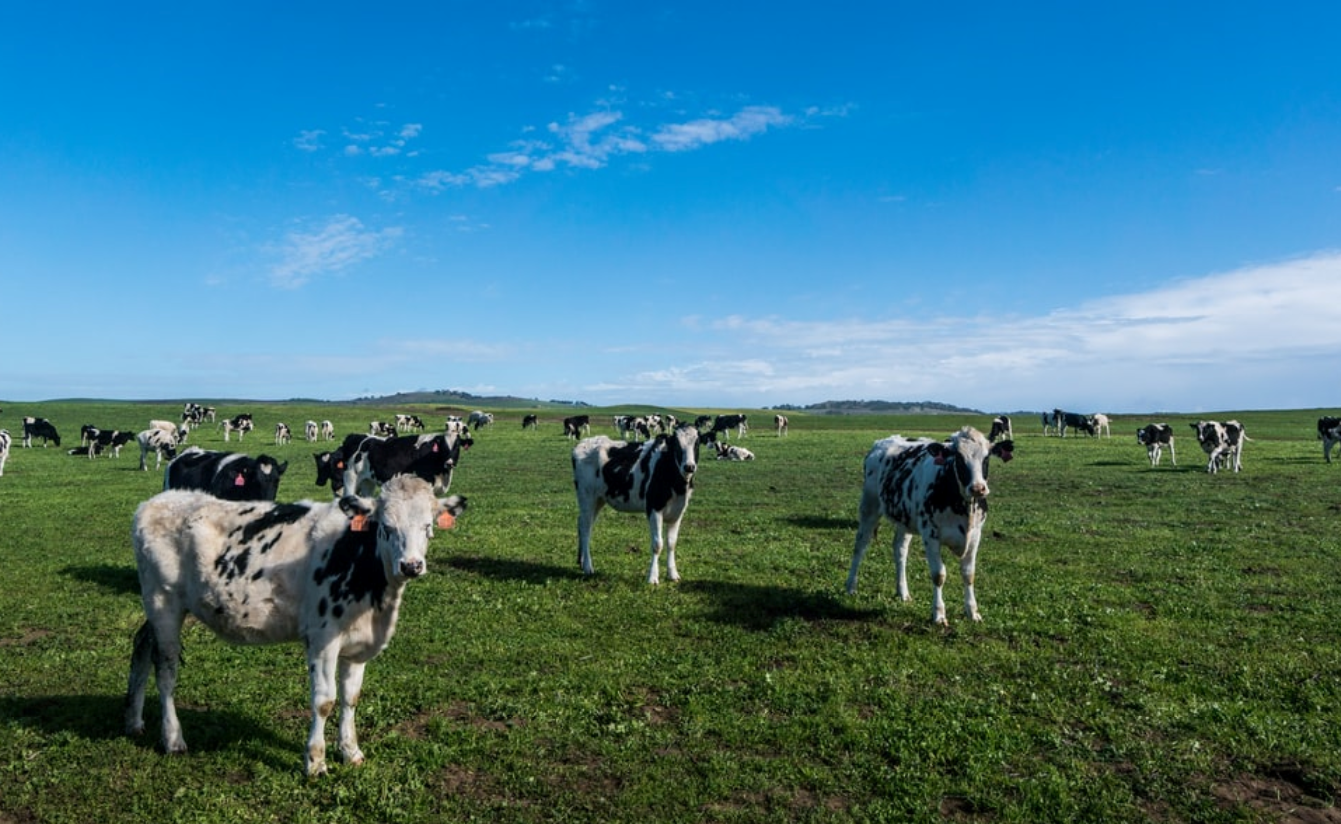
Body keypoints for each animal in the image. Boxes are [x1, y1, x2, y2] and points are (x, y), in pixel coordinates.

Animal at [124, 475, 468, 776]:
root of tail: (156, 501)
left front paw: (351, 751)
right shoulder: (322, 639)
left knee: (142, 645)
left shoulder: (359, 645)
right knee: (166, 670)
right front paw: (315, 762)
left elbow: (351, 698)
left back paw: (134, 722)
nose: (411, 565)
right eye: (386, 526)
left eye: (428, 526)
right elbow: (324, 701)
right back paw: (172, 739)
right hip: (163, 602)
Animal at [572, 425, 700, 584]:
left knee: (584, 524)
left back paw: (581, 561)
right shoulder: (654, 508)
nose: (689, 467)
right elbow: (658, 544)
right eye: (676, 444)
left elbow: (671, 543)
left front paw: (673, 574)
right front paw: (652, 577)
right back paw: (588, 567)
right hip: (586, 496)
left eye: (697, 444)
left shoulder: (678, 512)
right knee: (585, 528)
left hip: (598, 499)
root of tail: (584, 442)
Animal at [845, 427, 1015, 625]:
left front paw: (973, 612)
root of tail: (882, 442)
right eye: (958, 458)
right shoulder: (930, 534)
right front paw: (939, 614)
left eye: (986, 458)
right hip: (869, 506)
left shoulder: (975, 535)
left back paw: (903, 592)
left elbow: (968, 574)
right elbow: (938, 575)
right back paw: (851, 586)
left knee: (900, 549)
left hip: (905, 518)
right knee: (860, 545)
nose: (978, 488)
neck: (963, 507)